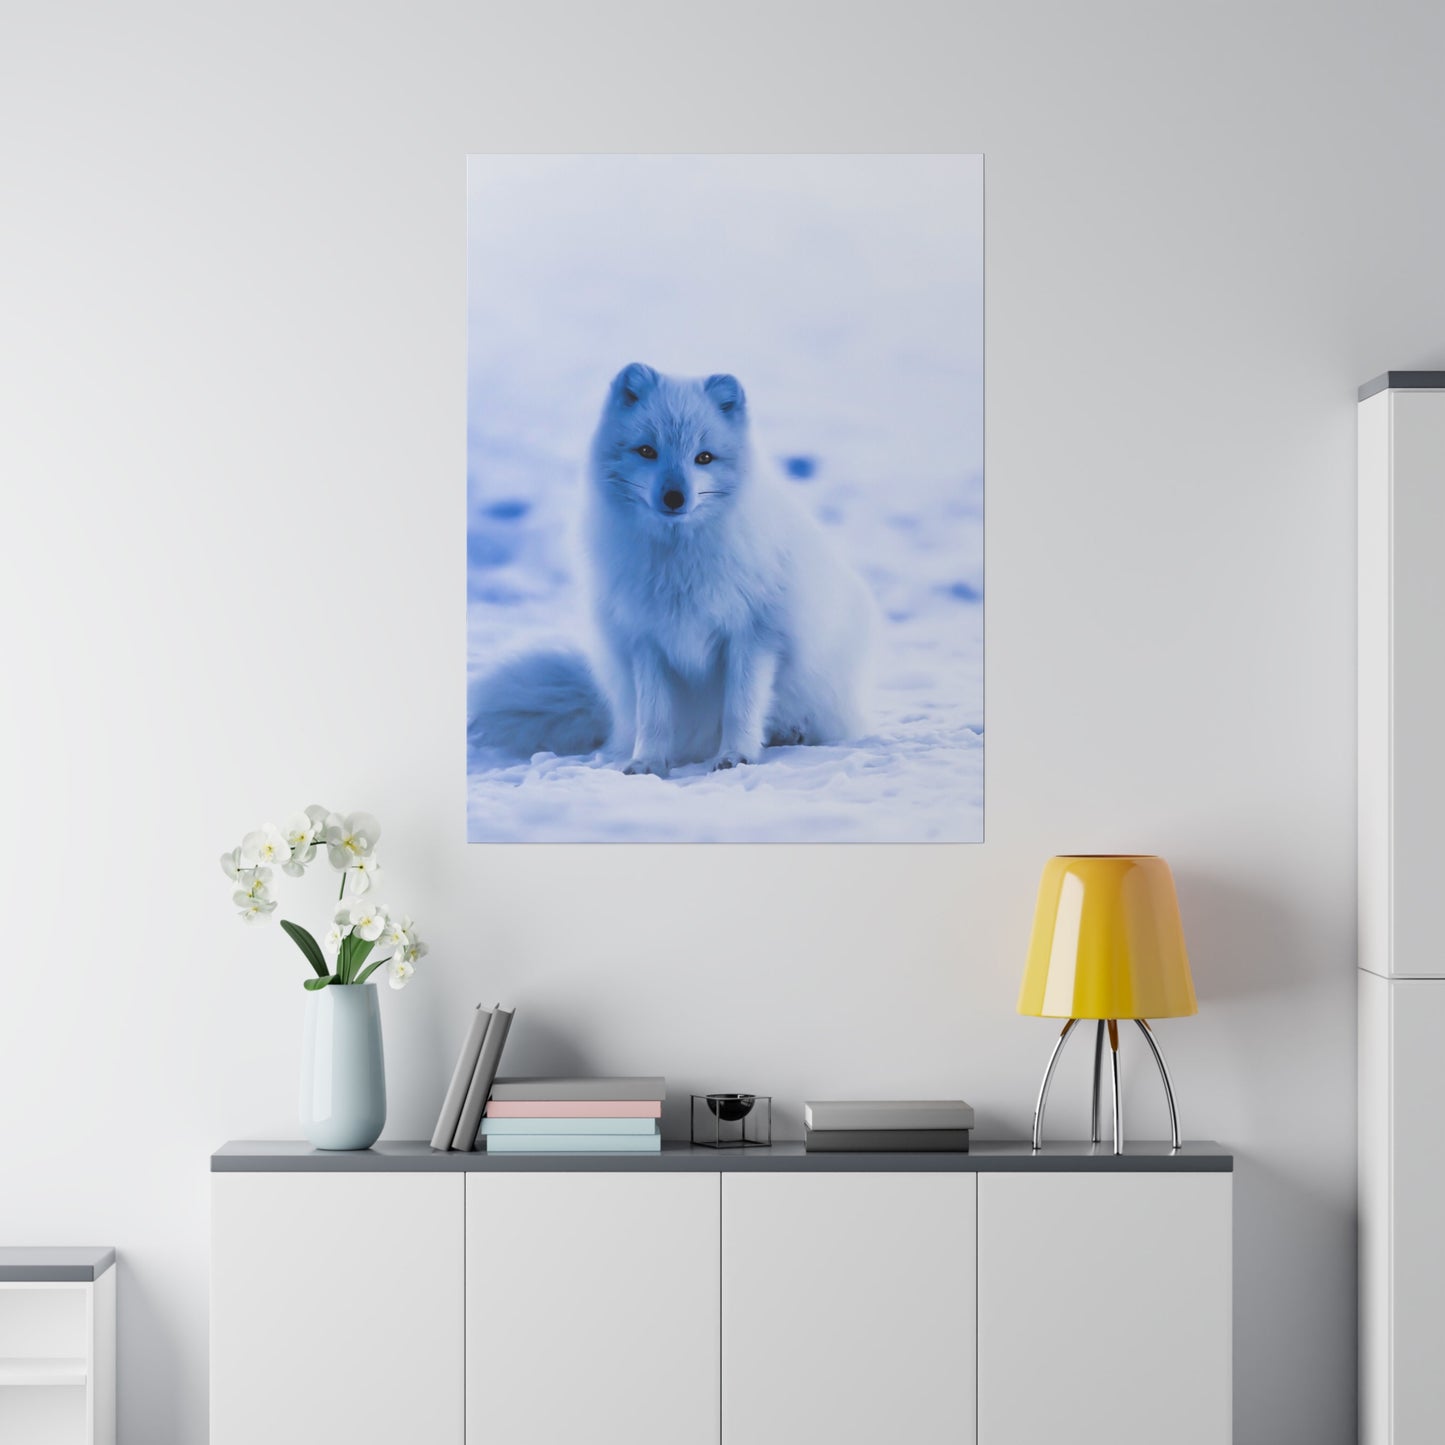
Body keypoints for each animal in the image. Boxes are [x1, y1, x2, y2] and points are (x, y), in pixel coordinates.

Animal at [468, 367, 872, 774]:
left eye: (704, 457)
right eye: (647, 451)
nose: (675, 497)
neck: (679, 564)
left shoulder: (754, 635)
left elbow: (740, 707)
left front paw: (735, 756)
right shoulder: (646, 639)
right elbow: (655, 715)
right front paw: (647, 762)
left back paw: (791, 733)